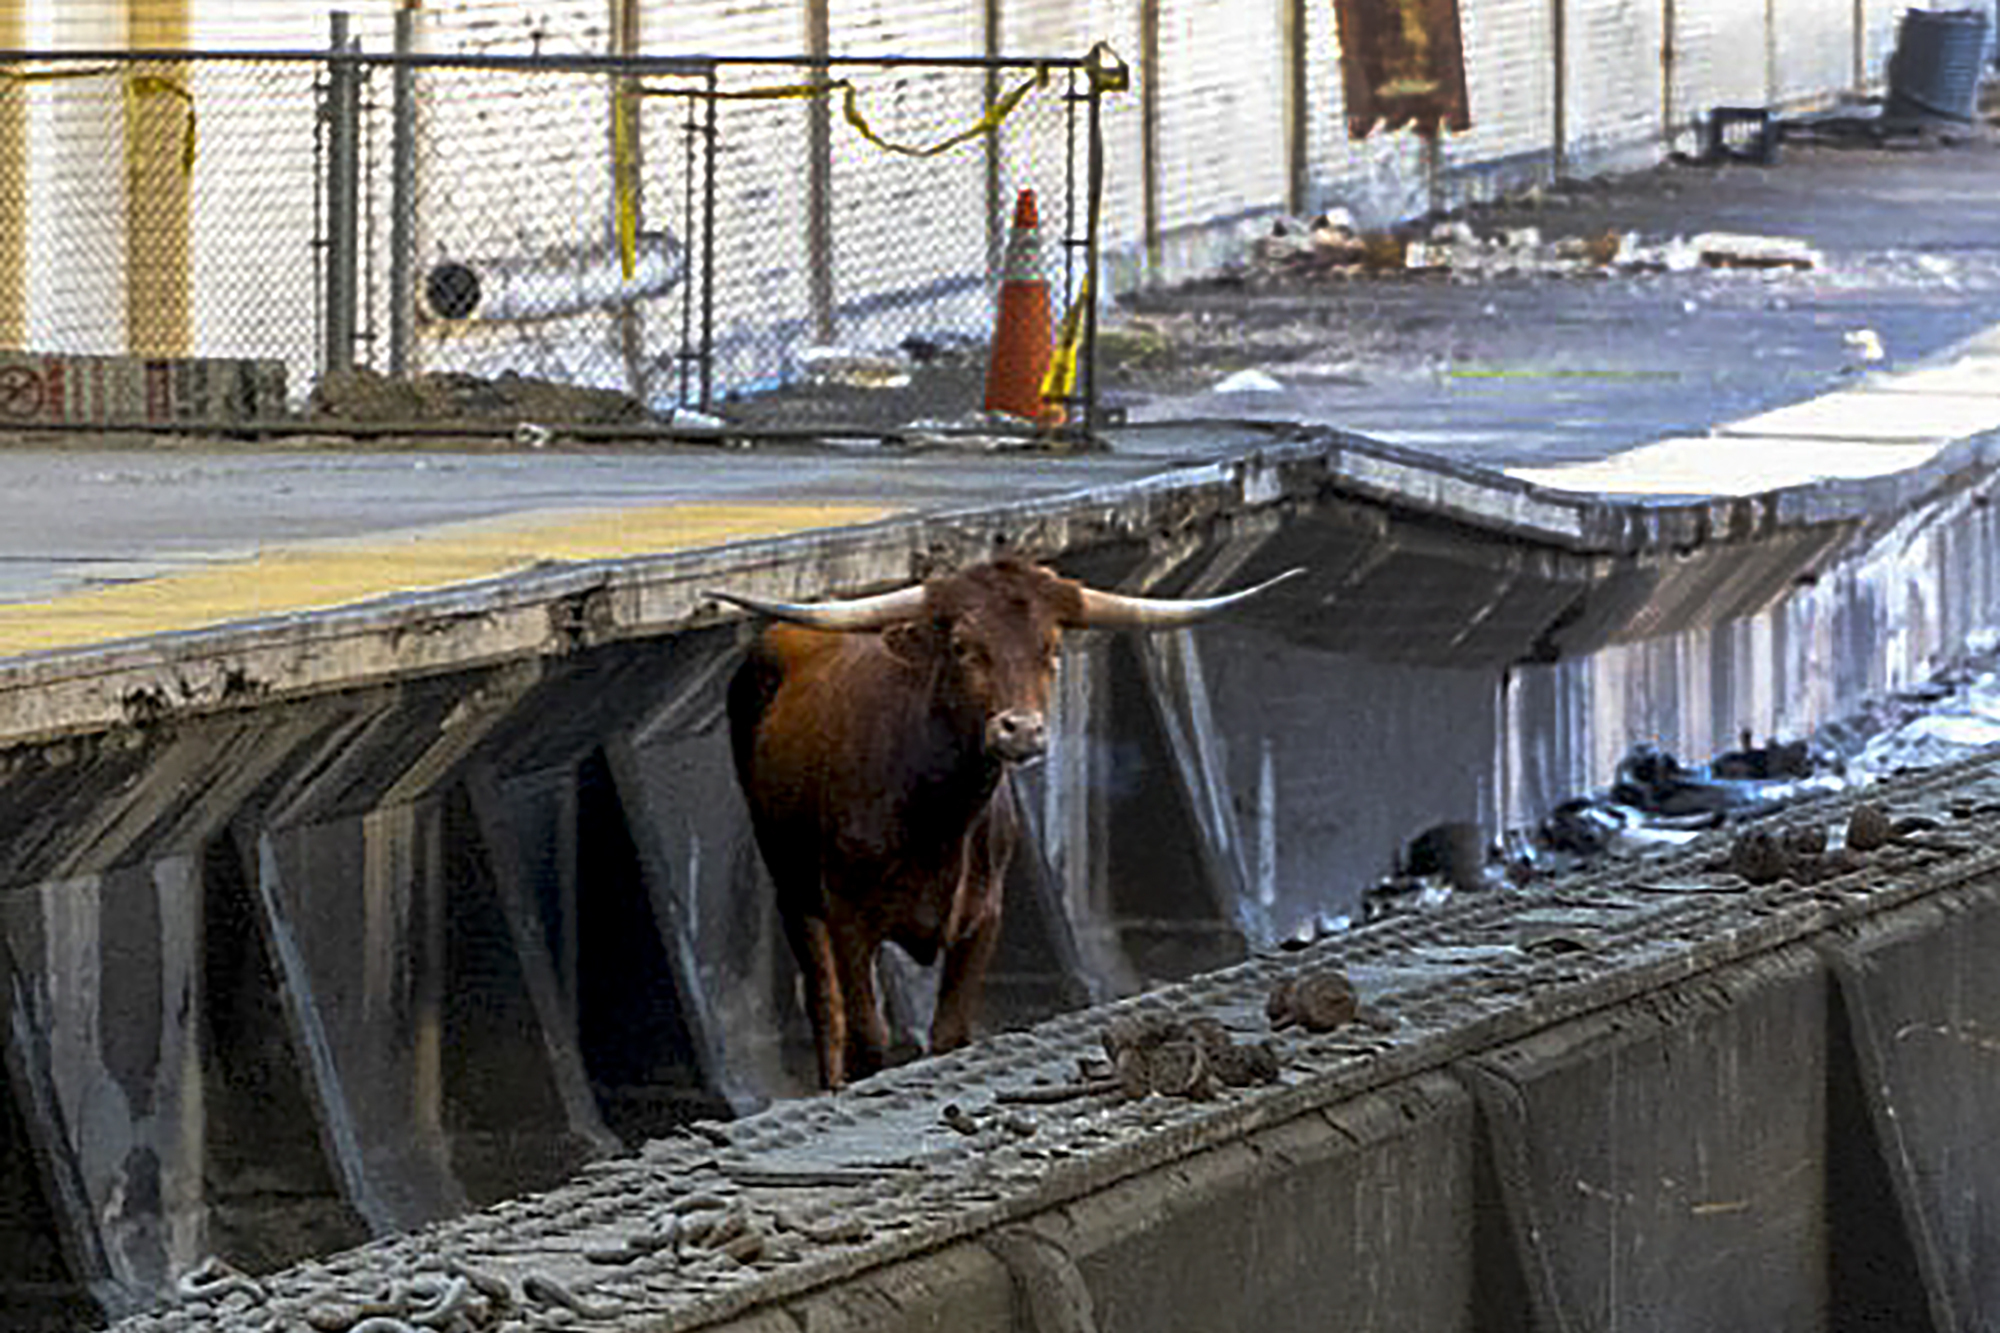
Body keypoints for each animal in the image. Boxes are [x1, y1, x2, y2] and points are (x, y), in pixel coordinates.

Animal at [712, 556, 1304, 1088]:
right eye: (963, 647)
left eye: (1052, 649)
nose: (1021, 730)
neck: (934, 818)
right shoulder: (848, 915)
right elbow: (866, 1038)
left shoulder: (982, 917)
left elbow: (949, 1035)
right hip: (793, 889)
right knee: (824, 1006)